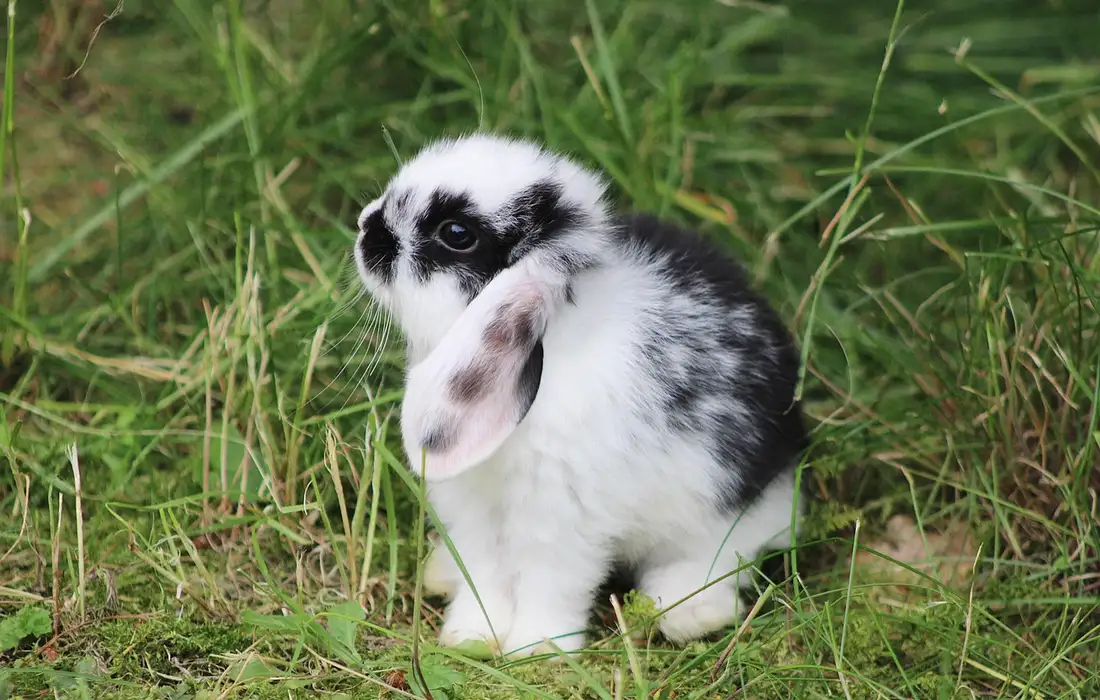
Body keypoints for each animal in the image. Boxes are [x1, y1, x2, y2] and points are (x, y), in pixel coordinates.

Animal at [352, 133, 809, 658]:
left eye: (457, 233)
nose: (366, 226)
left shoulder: (562, 520)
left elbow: (550, 584)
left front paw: (538, 649)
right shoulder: (474, 514)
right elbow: (484, 578)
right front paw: (470, 637)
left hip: (725, 514)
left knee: (721, 561)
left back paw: (688, 614)